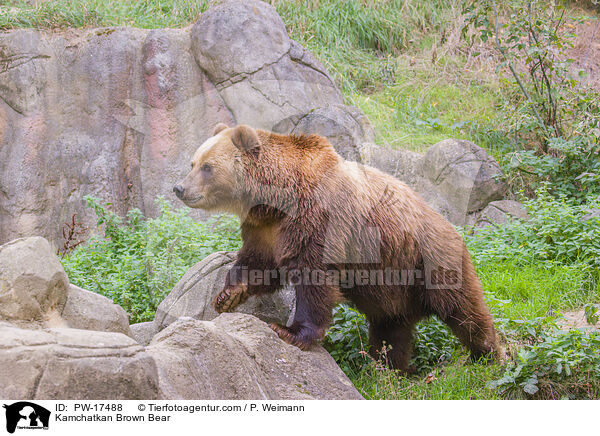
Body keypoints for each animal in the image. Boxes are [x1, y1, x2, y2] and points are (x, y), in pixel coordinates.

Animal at [175, 123, 502, 372]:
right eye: (193, 162)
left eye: (207, 167)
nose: (180, 188)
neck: (276, 200)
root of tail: (453, 228)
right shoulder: (265, 230)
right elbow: (259, 265)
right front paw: (227, 295)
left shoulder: (319, 220)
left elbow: (314, 278)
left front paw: (291, 331)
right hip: (392, 287)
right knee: (391, 329)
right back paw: (389, 368)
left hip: (429, 260)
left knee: (463, 309)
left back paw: (487, 354)